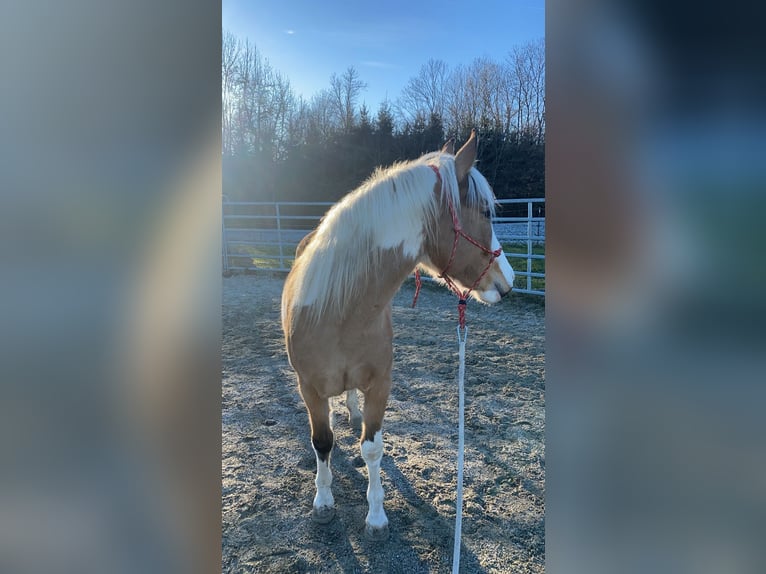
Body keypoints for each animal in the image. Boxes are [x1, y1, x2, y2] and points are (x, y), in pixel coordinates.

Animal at [281, 130, 515, 539]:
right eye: (486, 213)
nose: (510, 282)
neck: (340, 312)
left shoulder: (380, 384)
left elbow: (372, 448)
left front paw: (376, 517)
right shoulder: (309, 388)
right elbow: (322, 442)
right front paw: (323, 502)